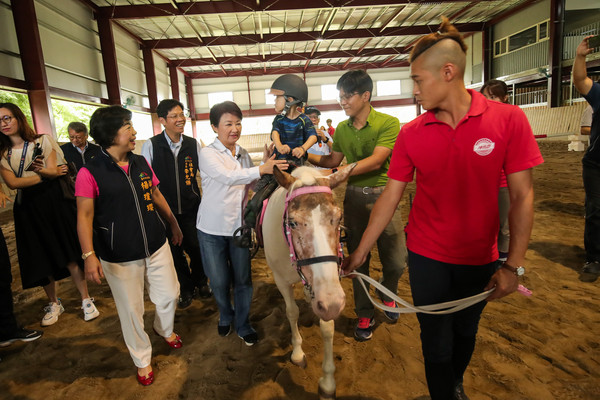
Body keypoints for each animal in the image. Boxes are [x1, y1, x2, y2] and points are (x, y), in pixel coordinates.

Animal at [262, 164, 354, 398]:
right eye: (292, 222)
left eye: (339, 217)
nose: (332, 303)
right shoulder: (281, 280)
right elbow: (291, 312)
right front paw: (297, 353)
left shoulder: (327, 290)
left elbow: (327, 326)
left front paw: (328, 382)